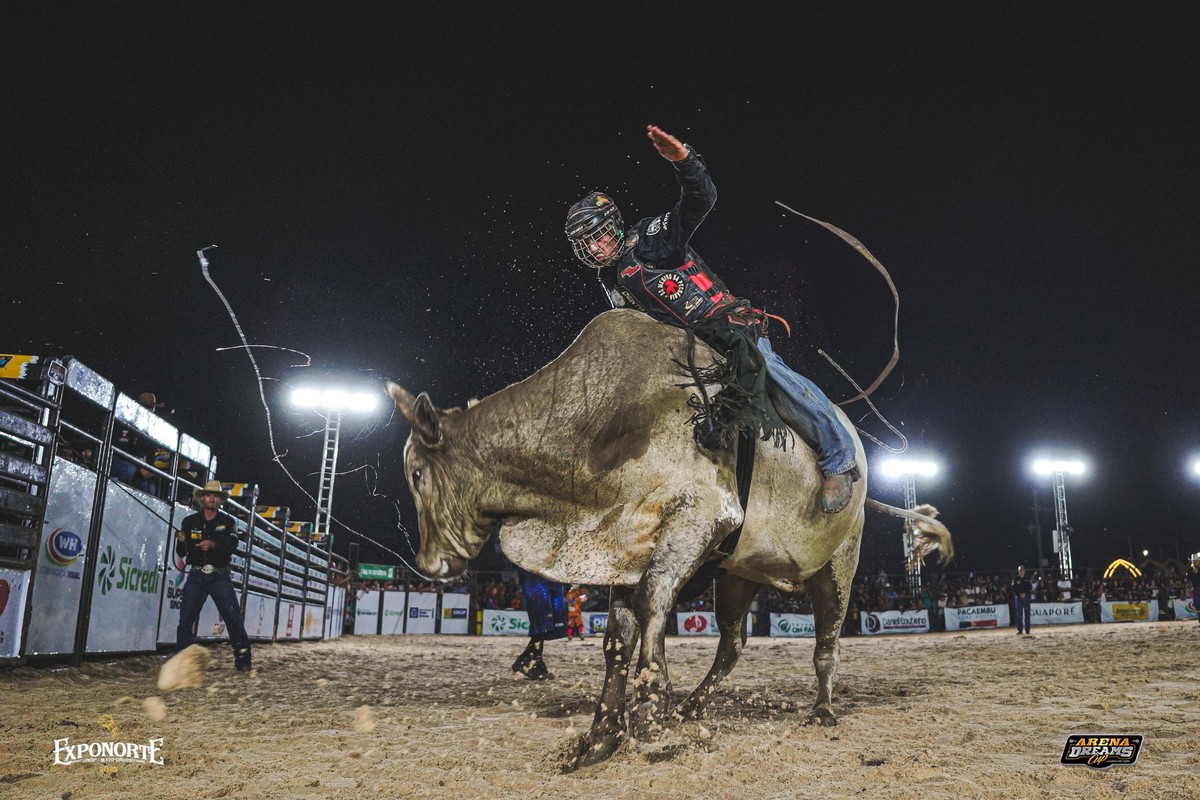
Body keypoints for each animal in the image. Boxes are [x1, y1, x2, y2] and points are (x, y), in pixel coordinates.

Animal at [387, 309, 952, 769]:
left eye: (416, 473)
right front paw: (601, 736)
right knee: (732, 644)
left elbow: (653, 600)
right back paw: (693, 707)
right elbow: (618, 638)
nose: (428, 563)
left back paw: (821, 710)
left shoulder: (700, 519)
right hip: (736, 577)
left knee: (826, 642)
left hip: (838, 566)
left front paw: (651, 704)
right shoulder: (620, 544)